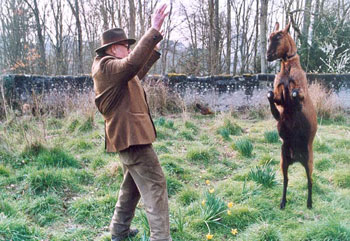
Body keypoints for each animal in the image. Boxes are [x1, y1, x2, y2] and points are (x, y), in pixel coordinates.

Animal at [268, 22, 318, 209]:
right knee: (286, 180)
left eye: (279, 36)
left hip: (309, 161)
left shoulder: (301, 94)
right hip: (283, 161)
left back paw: (309, 203)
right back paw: (283, 202)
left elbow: (296, 95)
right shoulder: (278, 98)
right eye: (269, 37)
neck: (288, 68)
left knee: (310, 181)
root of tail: (296, 158)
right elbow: (270, 96)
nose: (268, 56)